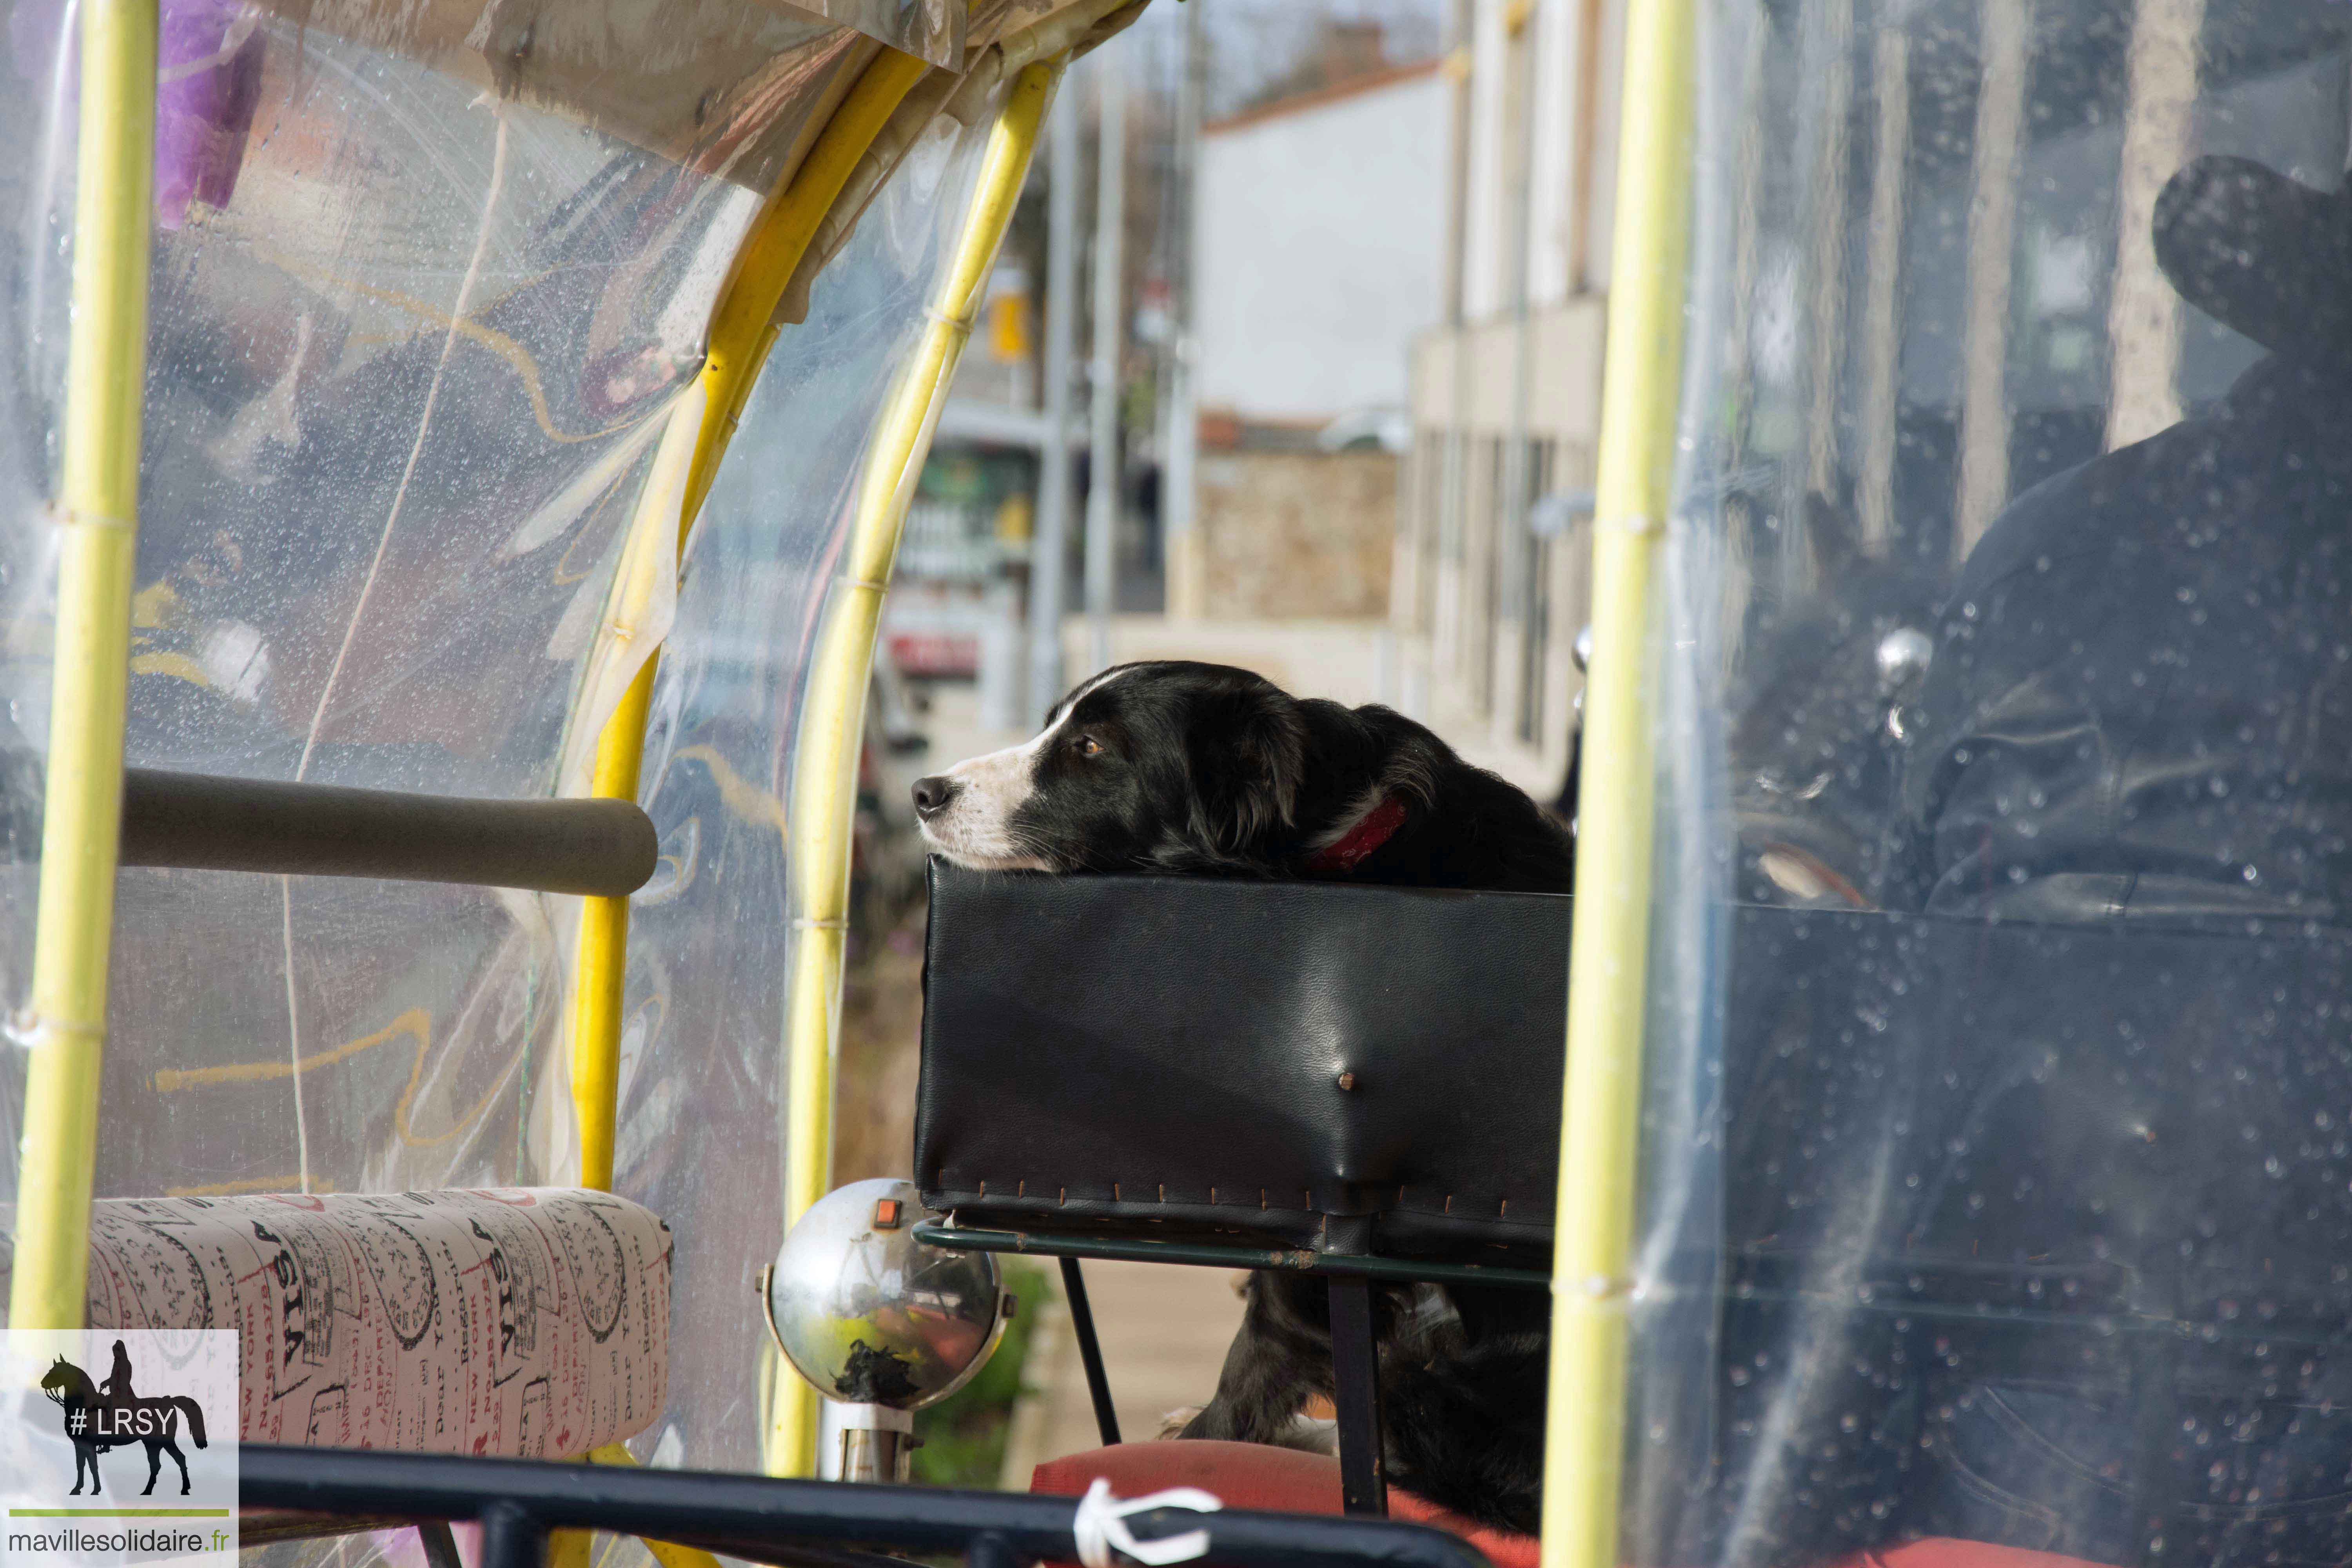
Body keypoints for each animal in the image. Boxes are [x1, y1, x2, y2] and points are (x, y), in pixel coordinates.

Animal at [908, 658, 1571, 1523]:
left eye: (1091, 747)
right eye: (1054, 724)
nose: (923, 791)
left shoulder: (1315, 1214)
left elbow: (1251, 1369)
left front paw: (1191, 1455)